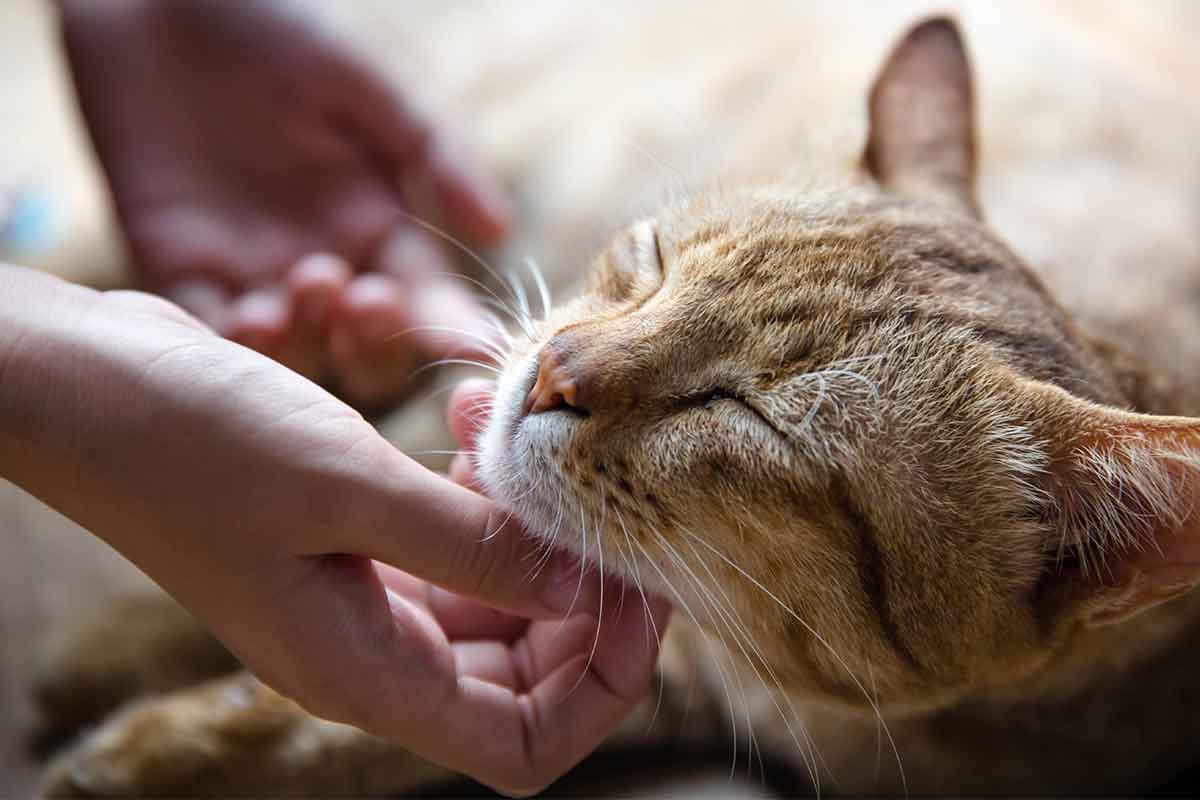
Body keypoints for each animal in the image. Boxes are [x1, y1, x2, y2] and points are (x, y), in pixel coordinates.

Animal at [30, 4, 1200, 796]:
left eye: (743, 415)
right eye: (655, 260)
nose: (555, 370)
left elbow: (349, 724)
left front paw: (154, 747)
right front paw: (124, 648)